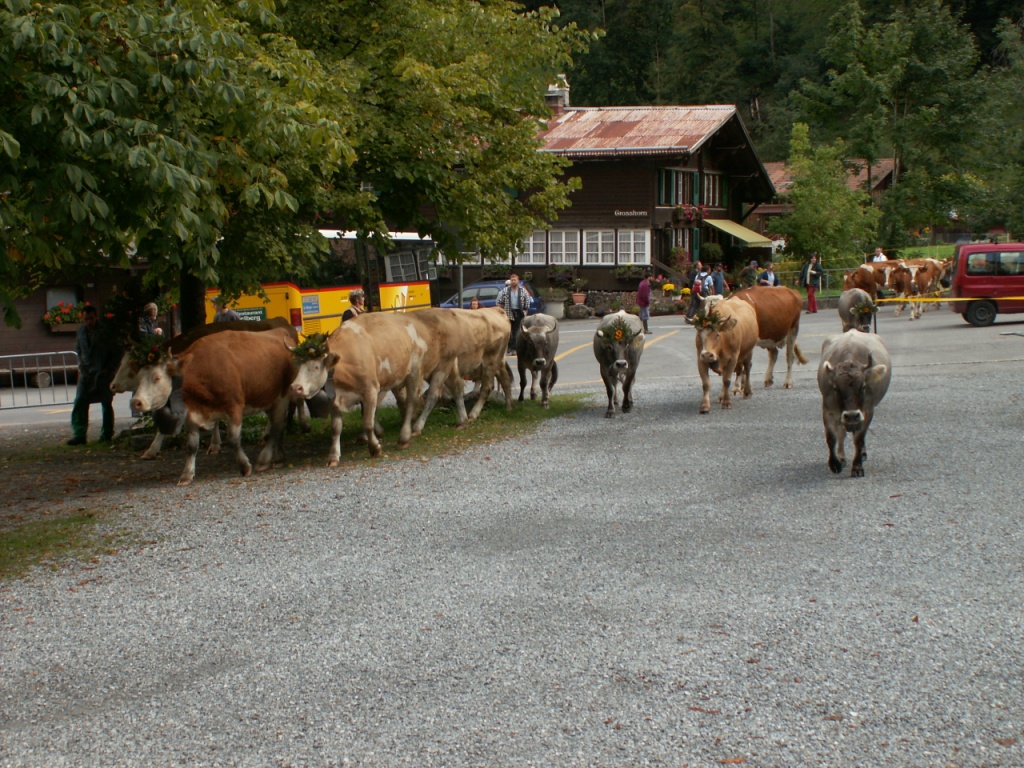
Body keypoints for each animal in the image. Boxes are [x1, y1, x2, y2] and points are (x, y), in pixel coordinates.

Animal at [129, 328, 298, 485]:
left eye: (157, 377)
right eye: (138, 378)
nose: (135, 402)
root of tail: (281, 332)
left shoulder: (234, 407)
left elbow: (233, 439)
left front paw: (244, 466)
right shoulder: (192, 414)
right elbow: (192, 446)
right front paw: (186, 475)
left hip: (282, 397)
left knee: (277, 427)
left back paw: (265, 459)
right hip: (267, 399)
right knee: (279, 425)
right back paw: (279, 457)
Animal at [817, 330, 892, 478]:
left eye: (863, 386)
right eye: (836, 388)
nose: (851, 415)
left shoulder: (867, 411)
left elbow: (859, 439)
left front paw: (857, 467)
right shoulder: (828, 410)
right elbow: (831, 437)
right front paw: (835, 463)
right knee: (841, 432)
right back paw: (842, 457)